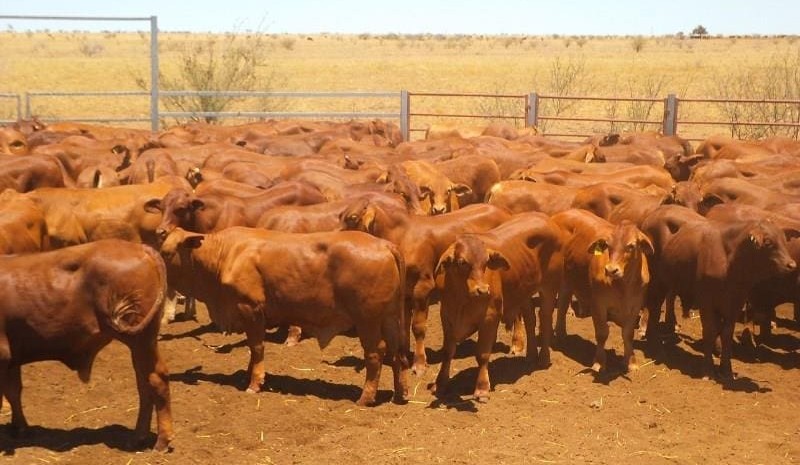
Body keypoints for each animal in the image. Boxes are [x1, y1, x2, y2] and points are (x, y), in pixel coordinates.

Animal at [0, 239, 173, 450]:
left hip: (142, 340)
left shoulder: (3, 354)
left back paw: (162, 440)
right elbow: (13, 392)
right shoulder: (12, 357)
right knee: (144, 384)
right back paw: (137, 437)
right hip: (140, 344)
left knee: (157, 379)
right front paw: (20, 428)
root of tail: (141, 248)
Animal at [158, 227, 409, 406]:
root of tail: (385, 244)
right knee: (396, 353)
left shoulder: (250, 309)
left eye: (167, 253)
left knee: (376, 354)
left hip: (368, 321)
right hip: (389, 319)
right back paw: (400, 393)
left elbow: (257, 347)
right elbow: (252, 349)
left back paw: (365, 398)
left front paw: (255, 383)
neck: (226, 254)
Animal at [431, 212, 564, 399]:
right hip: (523, 289)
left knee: (544, 318)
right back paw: (530, 355)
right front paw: (440, 383)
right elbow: (448, 351)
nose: (482, 290)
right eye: (462, 262)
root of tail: (547, 219)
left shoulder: (490, 317)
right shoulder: (447, 316)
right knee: (530, 319)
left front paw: (482, 388)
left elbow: (482, 354)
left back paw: (544, 358)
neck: (461, 300)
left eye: (486, 262)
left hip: (549, 287)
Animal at [552, 209, 653, 373]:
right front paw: (599, 363)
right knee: (558, 307)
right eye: (607, 245)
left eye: (631, 246)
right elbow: (602, 333)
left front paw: (631, 362)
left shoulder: (635, 305)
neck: (623, 286)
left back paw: (561, 334)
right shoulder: (598, 304)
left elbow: (628, 334)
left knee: (563, 303)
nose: (611, 270)